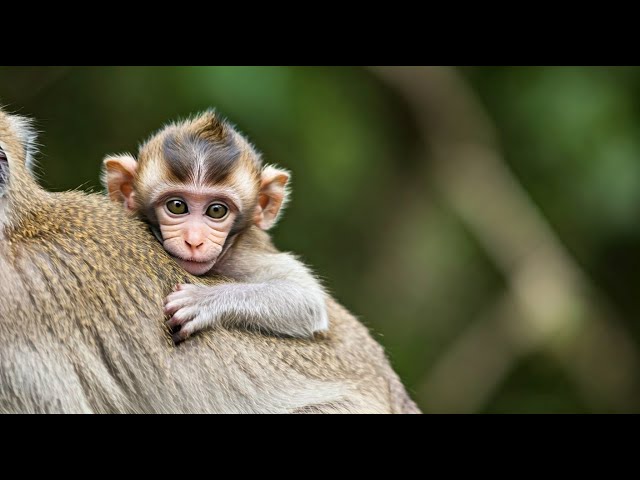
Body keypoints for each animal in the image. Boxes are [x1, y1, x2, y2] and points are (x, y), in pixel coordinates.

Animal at [104, 110, 330, 340]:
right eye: (177, 206)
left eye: (216, 210)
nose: (194, 241)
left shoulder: (244, 253)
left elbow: (305, 298)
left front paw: (203, 300)